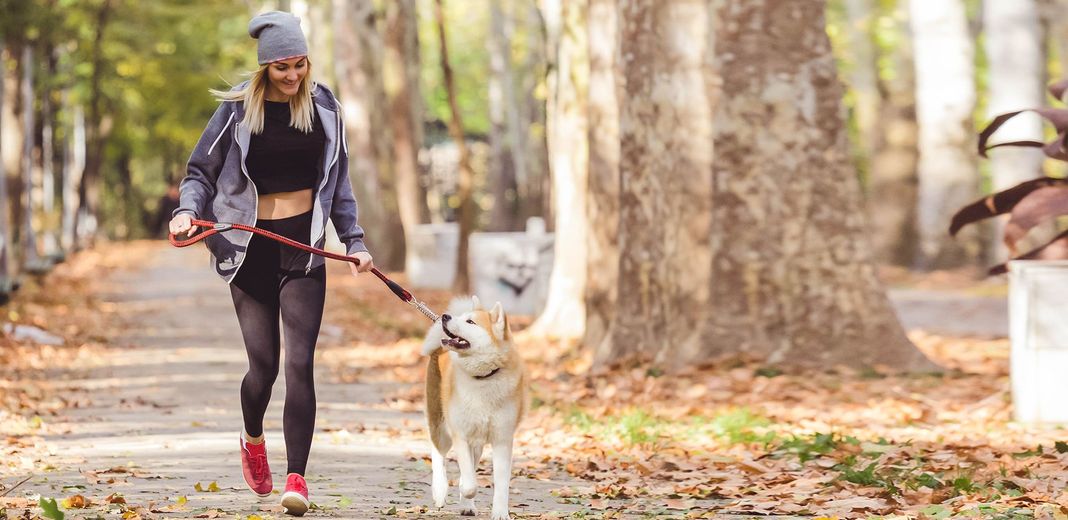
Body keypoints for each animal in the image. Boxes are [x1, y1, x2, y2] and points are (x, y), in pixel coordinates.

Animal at [422, 296, 527, 520]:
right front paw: (463, 488)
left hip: (477, 441)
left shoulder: (502, 439)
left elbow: (501, 484)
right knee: (438, 452)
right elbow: (470, 483)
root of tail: (438, 349)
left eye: (470, 322)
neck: (483, 377)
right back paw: (440, 490)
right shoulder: (460, 435)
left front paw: (500, 513)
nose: (445, 316)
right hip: (441, 426)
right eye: (462, 318)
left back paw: (467, 505)